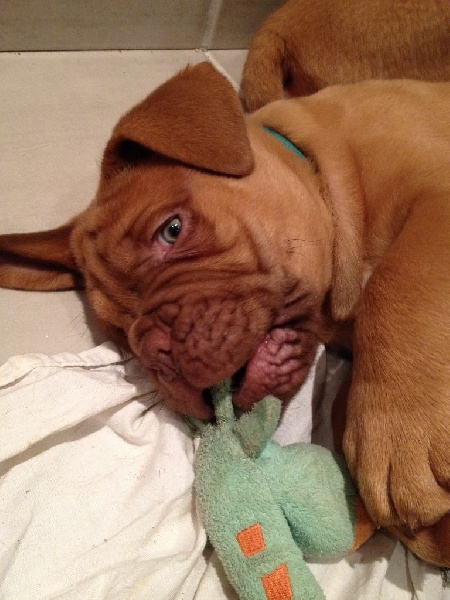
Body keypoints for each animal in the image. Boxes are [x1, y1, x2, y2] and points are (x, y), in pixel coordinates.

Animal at [0, 63, 449, 566]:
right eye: (120, 329)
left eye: (172, 230)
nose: (156, 352)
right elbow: (342, 407)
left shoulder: (435, 193)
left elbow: (399, 281)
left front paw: (397, 434)